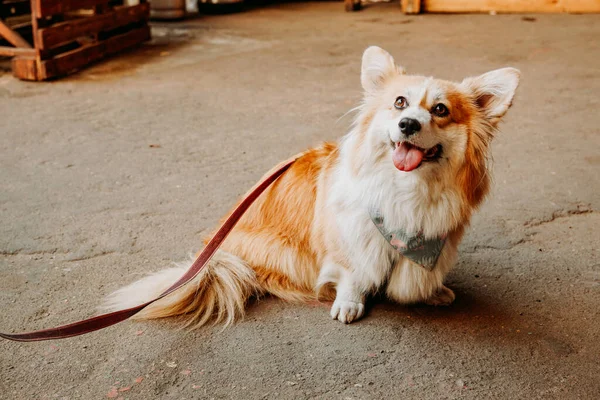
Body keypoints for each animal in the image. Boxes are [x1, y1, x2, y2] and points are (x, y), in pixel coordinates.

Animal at [106, 46, 520, 324]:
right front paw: (349, 304)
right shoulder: (348, 242)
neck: (407, 193)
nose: (407, 125)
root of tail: (221, 252)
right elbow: (352, 275)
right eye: (400, 103)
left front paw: (434, 293)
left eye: (440, 110)